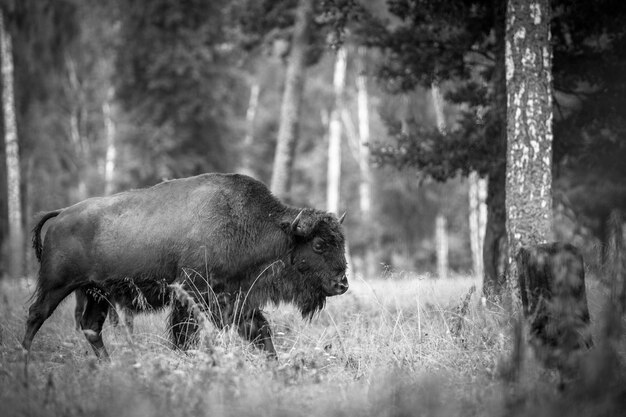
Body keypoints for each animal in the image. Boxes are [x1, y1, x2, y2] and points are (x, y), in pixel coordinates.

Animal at [23, 172, 346, 358]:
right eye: (319, 245)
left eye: (341, 242)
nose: (342, 283)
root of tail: (62, 213)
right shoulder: (190, 294)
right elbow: (183, 337)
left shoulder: (238, 299)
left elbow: (261, 333)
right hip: (57, 285)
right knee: (36, 315)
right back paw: (24, 359)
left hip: (95, 292)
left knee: (91, 327)